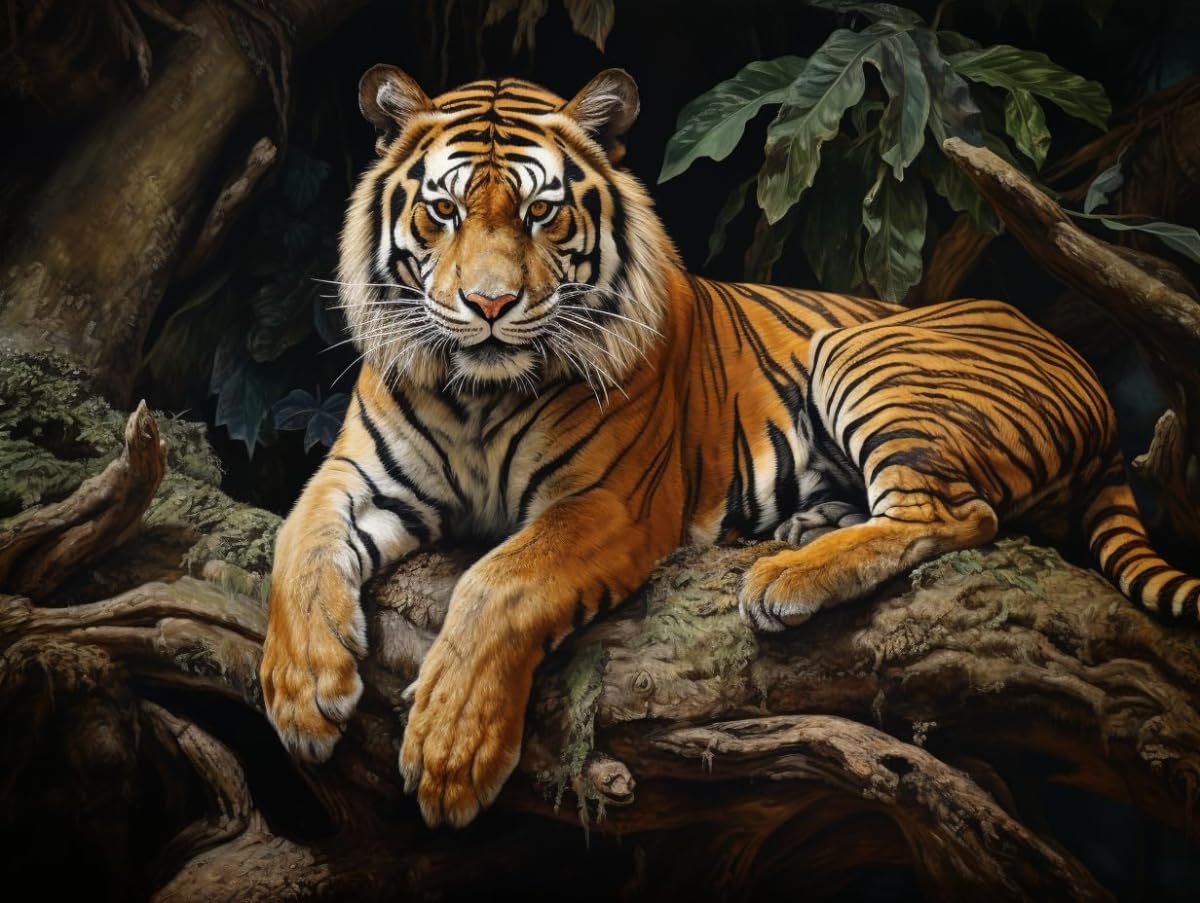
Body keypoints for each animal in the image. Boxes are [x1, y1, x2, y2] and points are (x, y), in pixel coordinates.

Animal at [259, 65, 1200, 829]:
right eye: (444, 210)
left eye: (540, 212)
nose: (489, 306)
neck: (480, 395)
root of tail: (1095, 388)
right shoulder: (352, 471)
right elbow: (295, 542)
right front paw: (303, 692)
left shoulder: (608, 503)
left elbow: (501, 582)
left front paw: (452, 752)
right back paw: (802, 531)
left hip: (863, 354)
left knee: (956, 513)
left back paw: (786, 577)